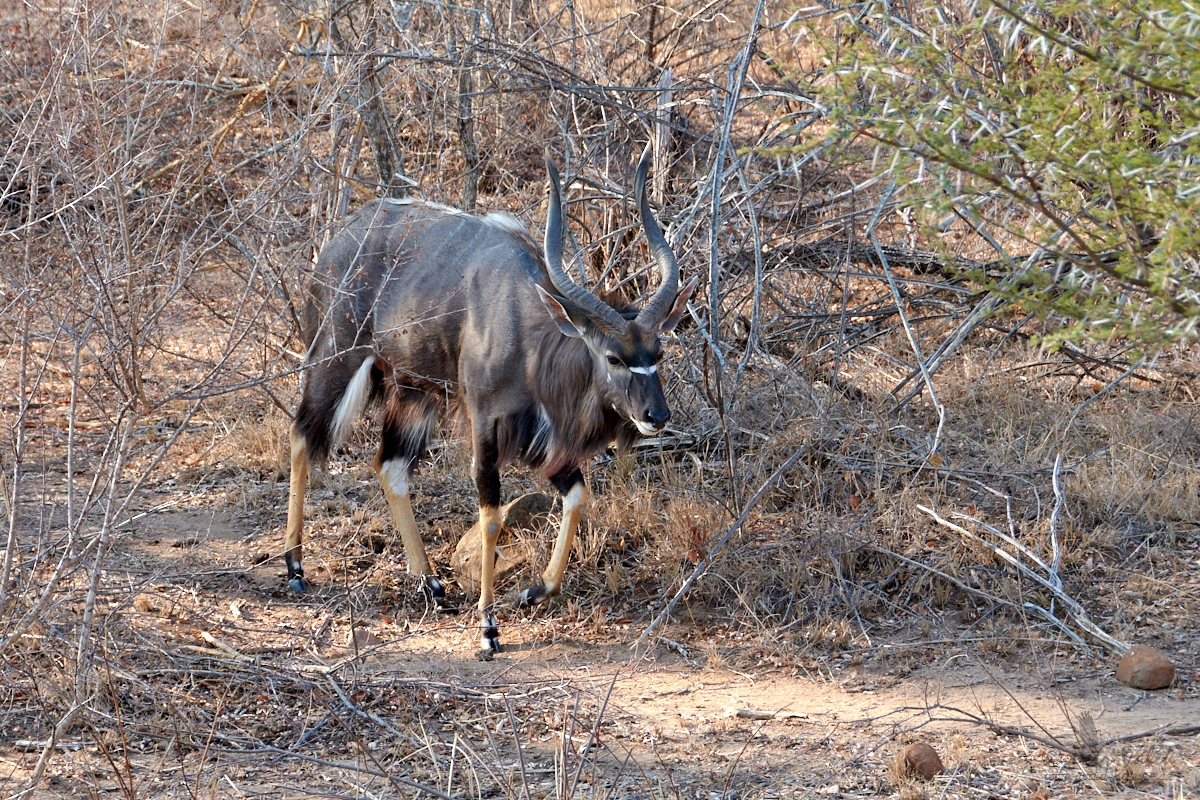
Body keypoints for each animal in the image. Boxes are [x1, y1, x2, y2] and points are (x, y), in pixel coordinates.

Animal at [284, 145, 696, 657]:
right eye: (614, 357)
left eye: (658, 353)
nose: (656, 416)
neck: (525, 328)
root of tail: (335, 243)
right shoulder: (485, 423)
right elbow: (491, 518)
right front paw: (488, 626)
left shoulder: (542, 440)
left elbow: (578, 496)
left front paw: (536, 590)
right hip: (336, 357)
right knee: (302, 433)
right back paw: (295, 567)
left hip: (414, 394)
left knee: (389, 465)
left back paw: (431, 584)